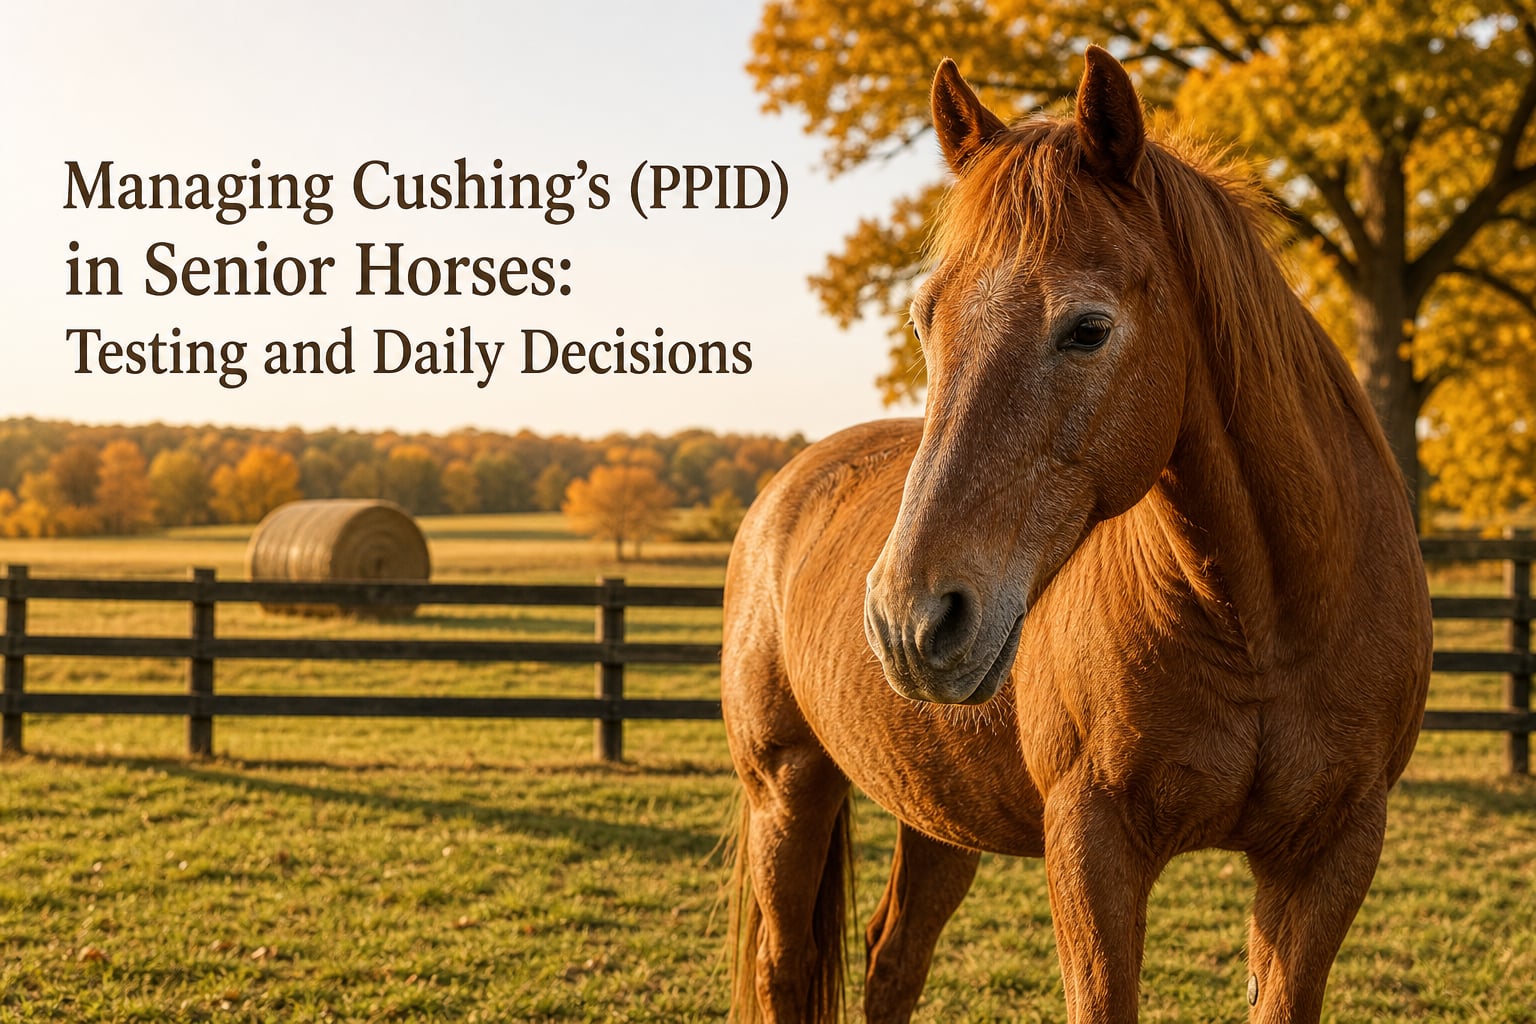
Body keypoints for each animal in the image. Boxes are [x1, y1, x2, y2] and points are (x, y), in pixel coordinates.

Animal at [721, 46, 1432, 1023]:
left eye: (1087, 329)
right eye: (925, 318)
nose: (910, 619)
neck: (1266, 625)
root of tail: (789, 486)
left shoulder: (1329, 853)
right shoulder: (1092, 847)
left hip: (936, 815)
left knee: (892, 960)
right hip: (788, 790)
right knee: (787, 970)